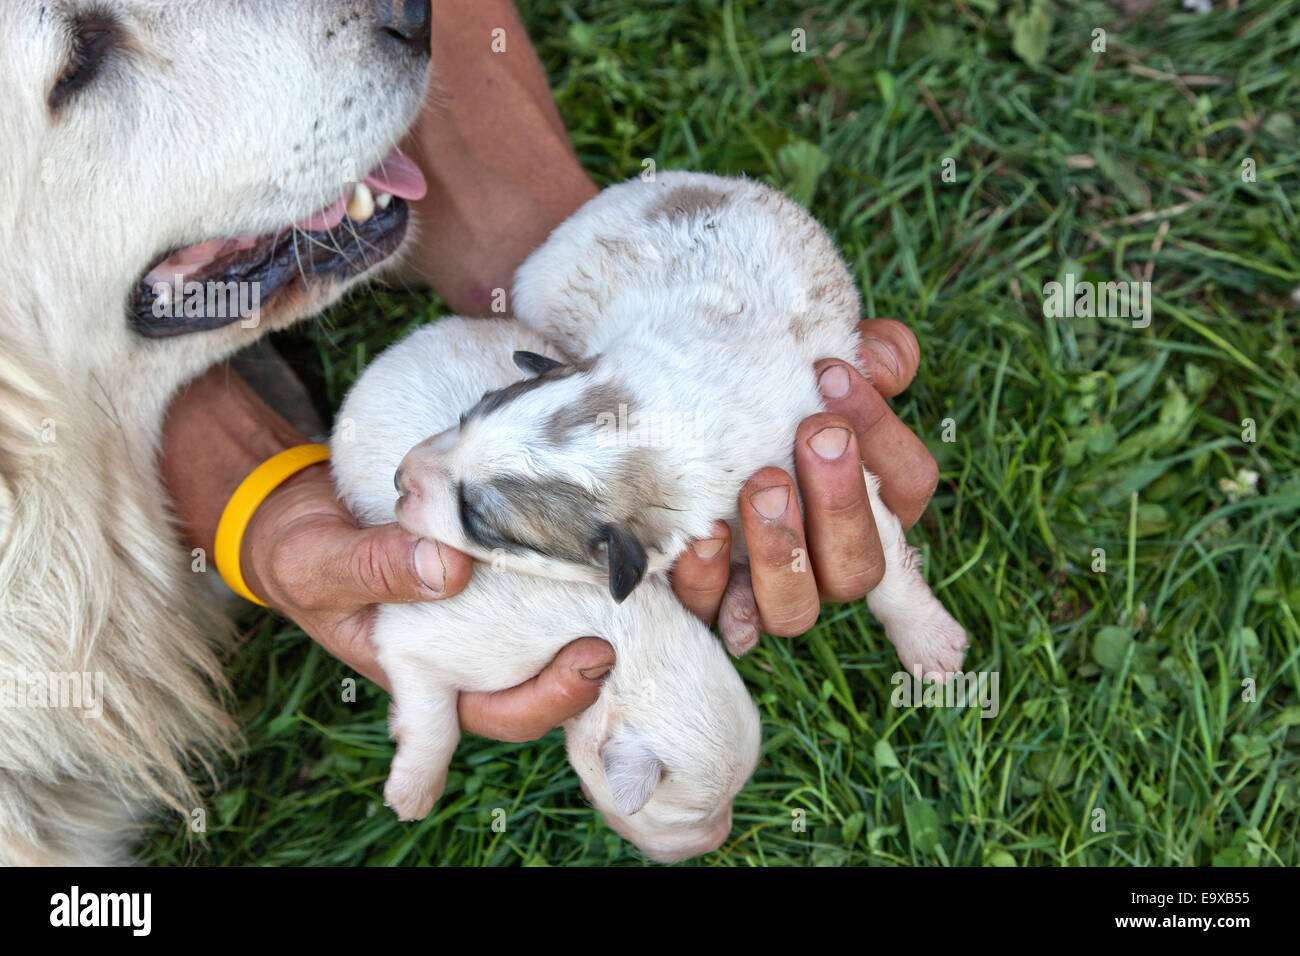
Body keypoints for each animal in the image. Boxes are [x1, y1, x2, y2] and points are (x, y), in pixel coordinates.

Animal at [330, 317, 764, 863]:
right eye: (694, 817)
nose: (721, 839)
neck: (626, 639)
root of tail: (403, 344)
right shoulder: (417, 642)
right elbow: (432, 717)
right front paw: (414, 791)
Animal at [400, 174, 972, 681]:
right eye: (466, 417)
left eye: (476, 519)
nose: (400, 480)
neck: (660, 420)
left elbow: (889, 559)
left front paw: (930, 641)